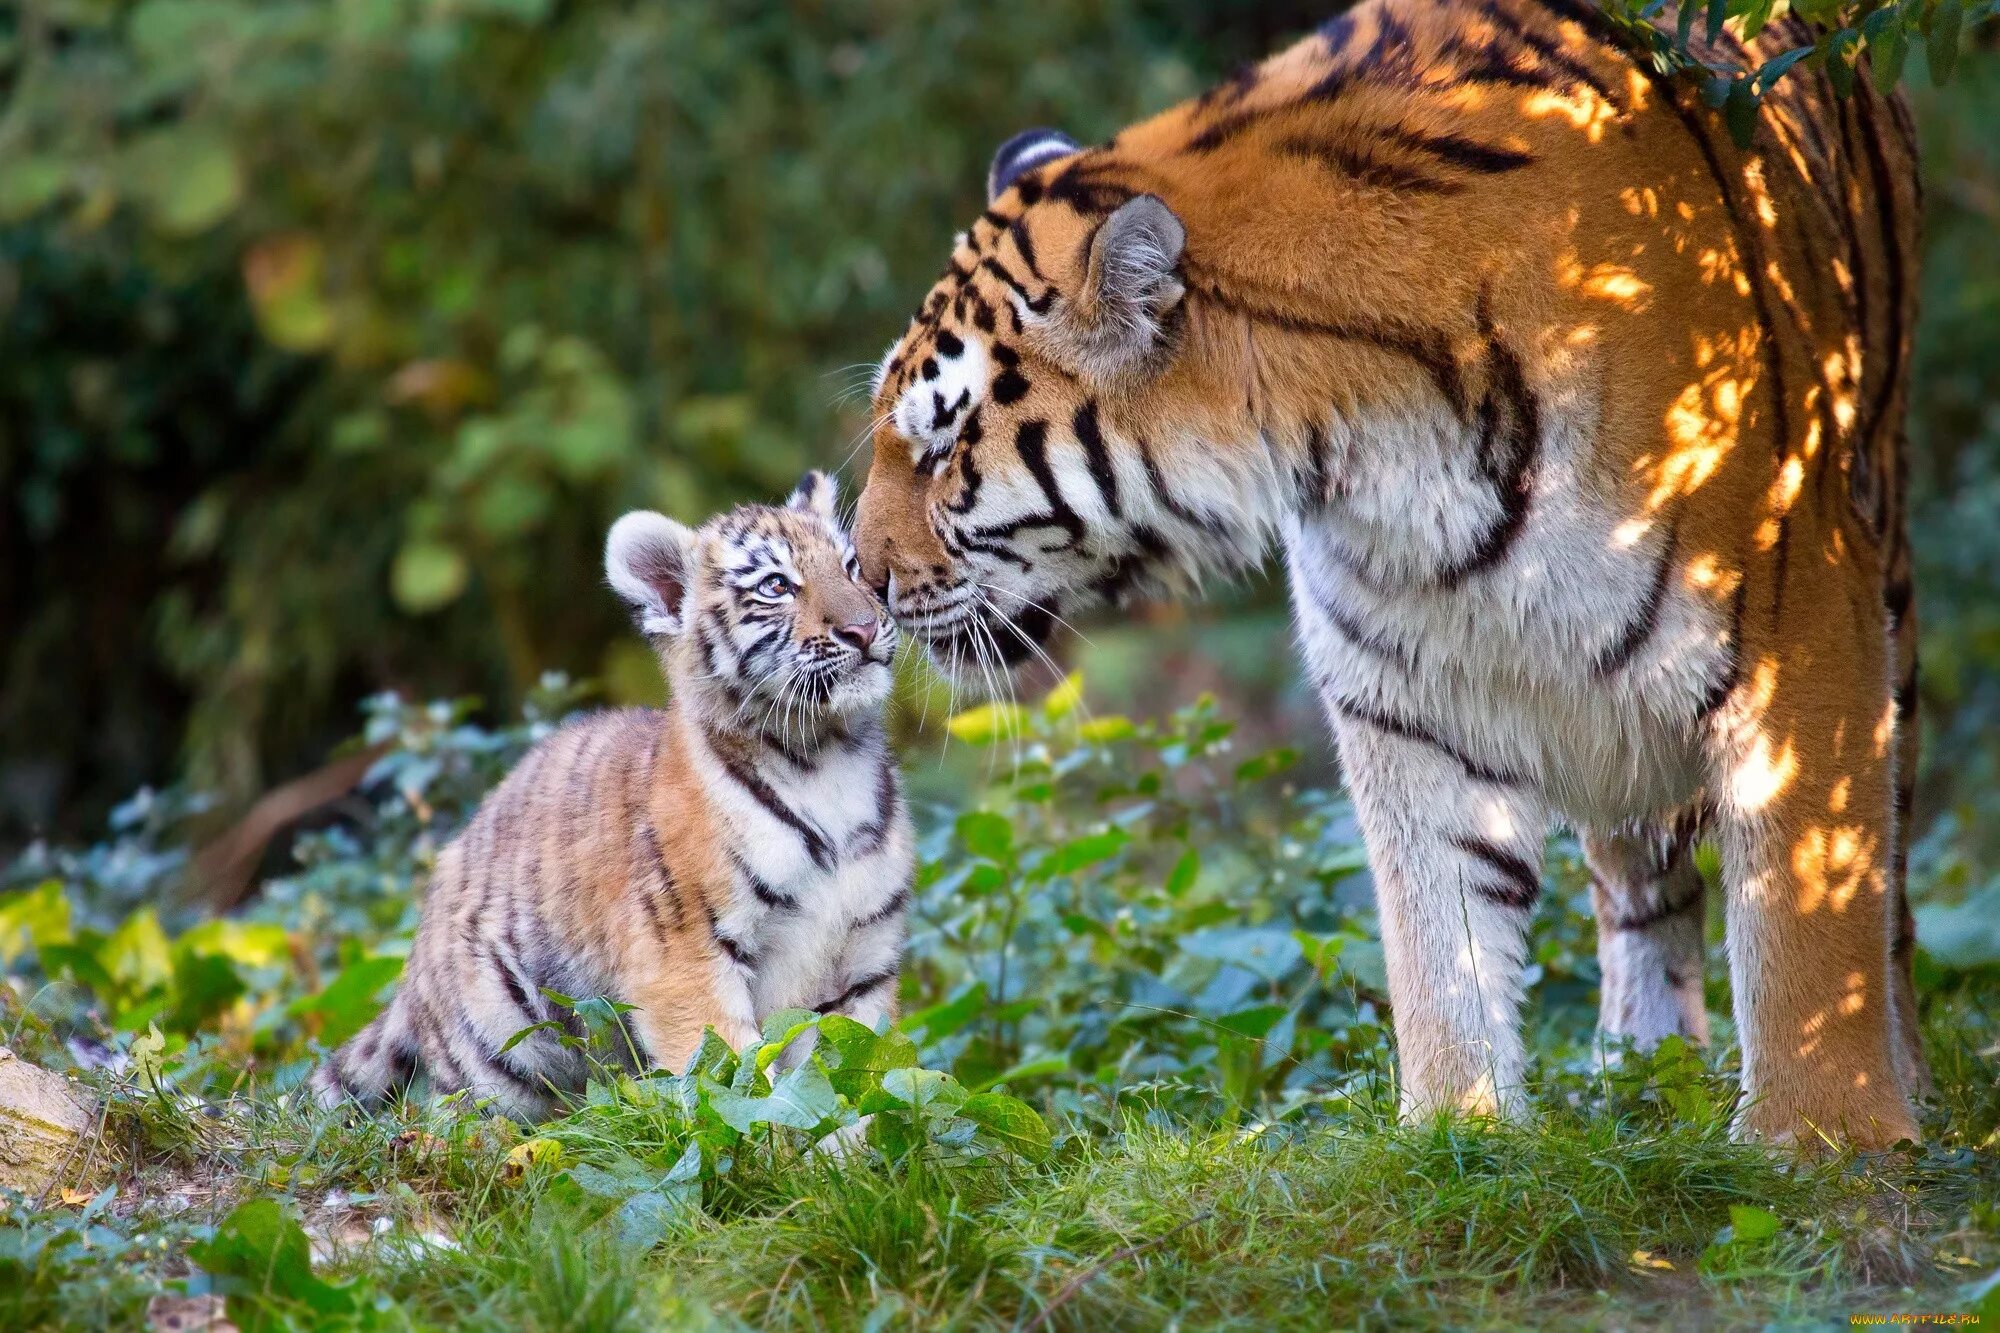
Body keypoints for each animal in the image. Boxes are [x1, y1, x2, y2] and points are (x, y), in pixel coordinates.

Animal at [852, 0, 1928, 1144]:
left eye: (938, 450)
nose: (861, 577)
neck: (1381, 454)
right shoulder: (1405, 697)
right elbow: (1438, 938)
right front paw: (1460, 1129)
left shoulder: (1799, 633)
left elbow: (1805, 914)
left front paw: (1825, 1141)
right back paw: (1641, 1069)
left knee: (1887, 883)